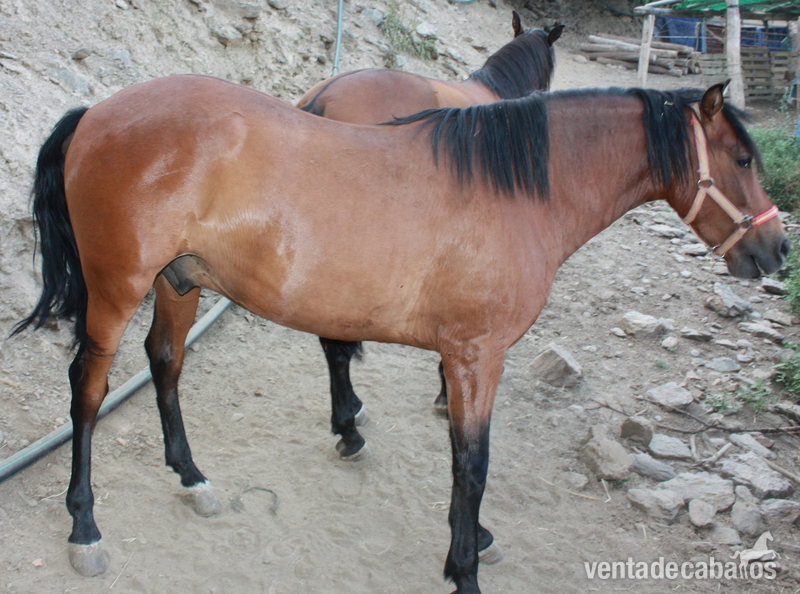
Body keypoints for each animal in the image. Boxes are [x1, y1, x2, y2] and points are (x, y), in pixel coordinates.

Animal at [14, 75, 788, 593]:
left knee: (166, 364)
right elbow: (472, 464)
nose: (777, 251)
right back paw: (85, 527)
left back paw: (192, 475)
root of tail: (98, 112)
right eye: (743, 161)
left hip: (178, 282)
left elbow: (464, 463)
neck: (515, 191)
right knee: (88, 391)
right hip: (118, 289)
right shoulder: (476, 357)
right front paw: (465, 566)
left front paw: (471, 540)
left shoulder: (463, 358)